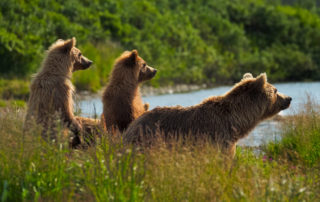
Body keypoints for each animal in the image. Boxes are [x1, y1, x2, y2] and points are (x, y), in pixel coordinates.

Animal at [123, 73, 292, 157]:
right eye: (276, 90)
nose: (289, 98)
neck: (236, 120)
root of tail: (131, 126)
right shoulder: (218, 137)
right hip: (147, 139)